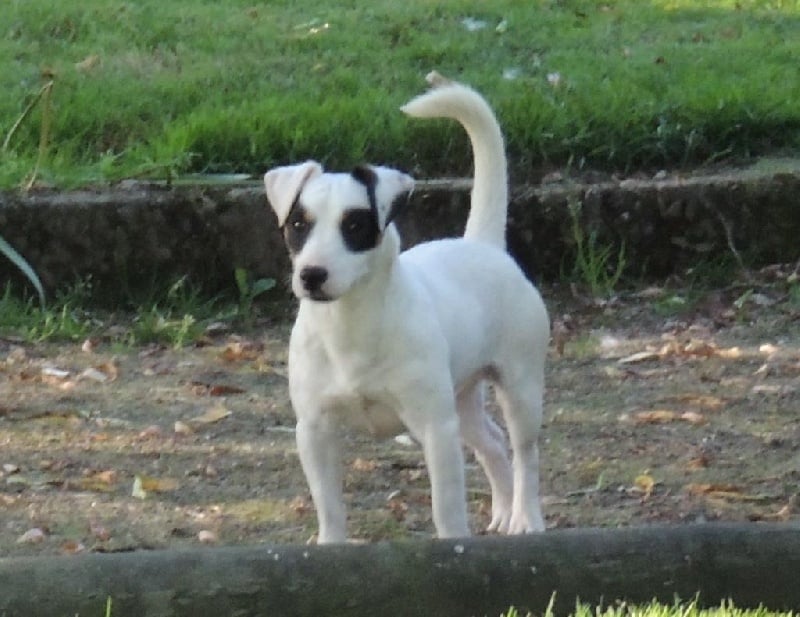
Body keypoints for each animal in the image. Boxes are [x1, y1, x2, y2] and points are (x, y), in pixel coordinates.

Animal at [263, 72, 549, 543]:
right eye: (298, 224)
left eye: (355, 225)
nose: (311, 275)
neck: (350, 328)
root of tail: (483, 244)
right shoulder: (315, 432)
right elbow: (330, 508)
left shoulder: (436, 429)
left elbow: (446, 509)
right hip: (462, 400)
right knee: (492, 442)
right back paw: (504, 510)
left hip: (519, 387)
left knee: (525, 452)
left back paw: (526, 518)